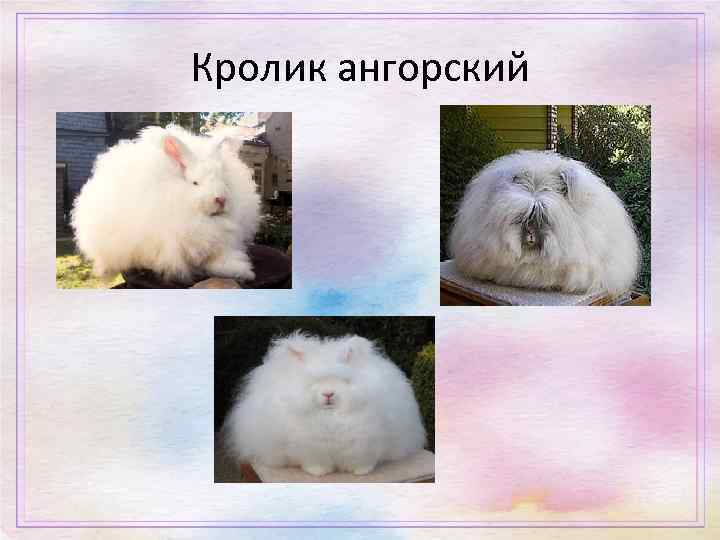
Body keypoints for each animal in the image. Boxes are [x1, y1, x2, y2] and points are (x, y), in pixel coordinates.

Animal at [223, 332, 427, 477]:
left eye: (343, 380)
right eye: (312, 381)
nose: (328, 393)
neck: (330, 416)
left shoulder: (367, 442)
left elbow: (362, 460)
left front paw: (361, 472)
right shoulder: (309, 448)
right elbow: (315, 462)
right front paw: (319, 473)